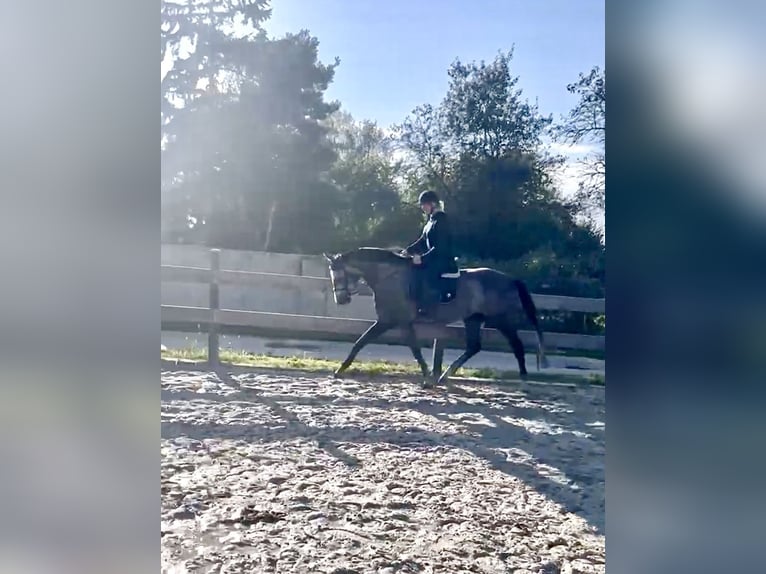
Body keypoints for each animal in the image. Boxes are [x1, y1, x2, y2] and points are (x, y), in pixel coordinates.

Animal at [320, 248, 548, 388]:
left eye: (338, 275)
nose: (341, 300)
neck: (389, 277)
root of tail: (509, 278)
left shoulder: (392, 321)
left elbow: (368, 343)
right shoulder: (395, 322)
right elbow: (368, 342)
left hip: (500, 320)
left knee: (516, 345)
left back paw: (524, 380)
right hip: (473, 318)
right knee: (474, 347)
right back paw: (446, 375)